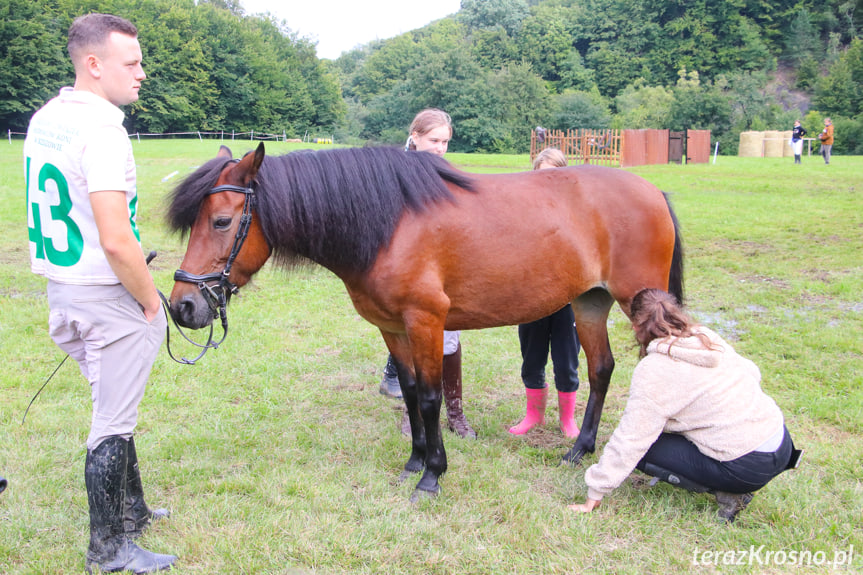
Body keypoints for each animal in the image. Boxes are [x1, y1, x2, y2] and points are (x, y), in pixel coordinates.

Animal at [167, 145, 680, 504]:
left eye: (221, 221)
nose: (182, 307)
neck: (390, 225)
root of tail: (653, 191)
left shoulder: (426, 322)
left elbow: (432, 397)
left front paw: (433, 474)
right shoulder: (392, 328)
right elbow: (411, 392)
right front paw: (414, 461)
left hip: (636, 303)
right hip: (589, 303)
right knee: (601, 369)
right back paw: (580, 450)